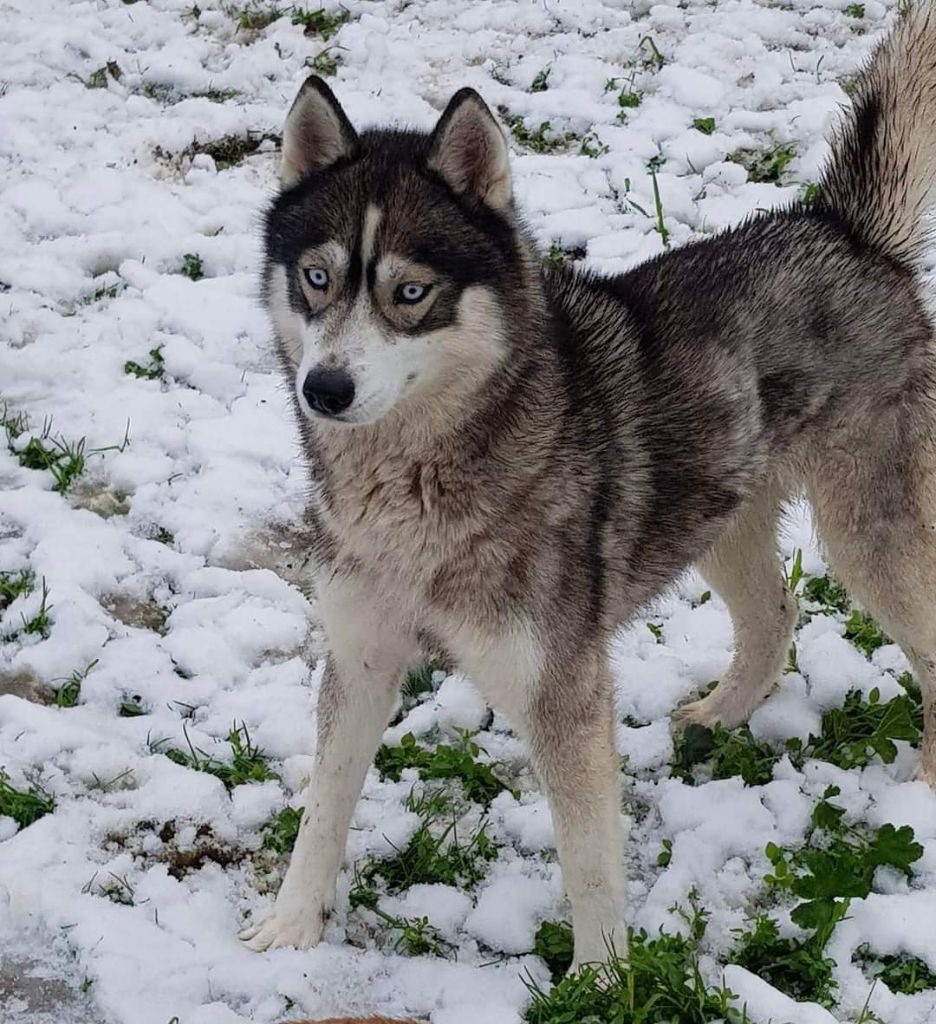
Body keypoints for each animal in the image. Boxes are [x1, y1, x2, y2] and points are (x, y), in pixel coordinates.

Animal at [242, 6, 936, 966]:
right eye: (316, 278)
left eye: (411, 293)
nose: (326, 389)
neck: (415, 489)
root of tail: (842, 230)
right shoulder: (360, 653)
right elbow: (324, 808)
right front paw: (292, 924)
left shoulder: (560, 686)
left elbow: (589, 860)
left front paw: (603, 978)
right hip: (721, 521)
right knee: (776, 615)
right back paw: (719, 717)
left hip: (868, 535)